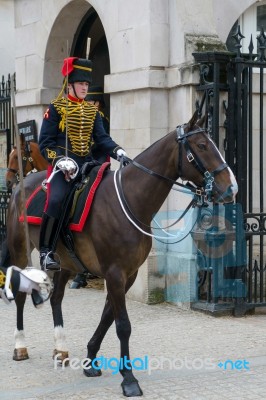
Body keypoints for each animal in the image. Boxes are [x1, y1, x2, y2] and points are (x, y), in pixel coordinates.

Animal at [3, 111, 238, 396]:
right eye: (202, 146)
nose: (232, 188)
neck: (131, 200)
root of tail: (20, 186)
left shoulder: (129, 274)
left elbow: (108, 317)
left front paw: (91, 359)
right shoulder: (114, 273)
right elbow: (123, 325)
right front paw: (128, 378)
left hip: (66, 262)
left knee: (56, 298)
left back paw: (60, 349)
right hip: (20, 250)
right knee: (21, 294)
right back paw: (20, 346)